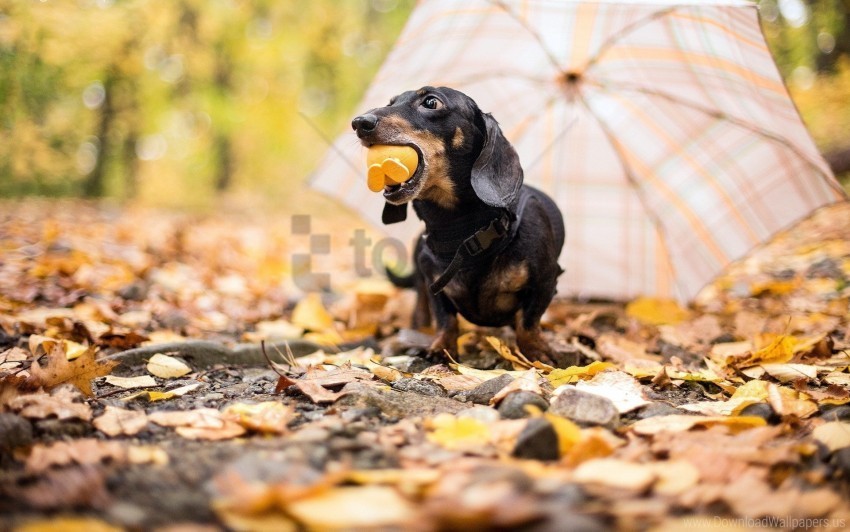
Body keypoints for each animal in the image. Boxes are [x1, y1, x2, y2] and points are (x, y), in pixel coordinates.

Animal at [352, 85, 564, 364]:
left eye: (431, 102)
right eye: (391, 102)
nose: (359, 122)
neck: (461, 230)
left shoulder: (545, 281)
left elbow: (528, 322)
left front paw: (536, 352)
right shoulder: (434, 285)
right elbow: (446, 320)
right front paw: (441, 348)